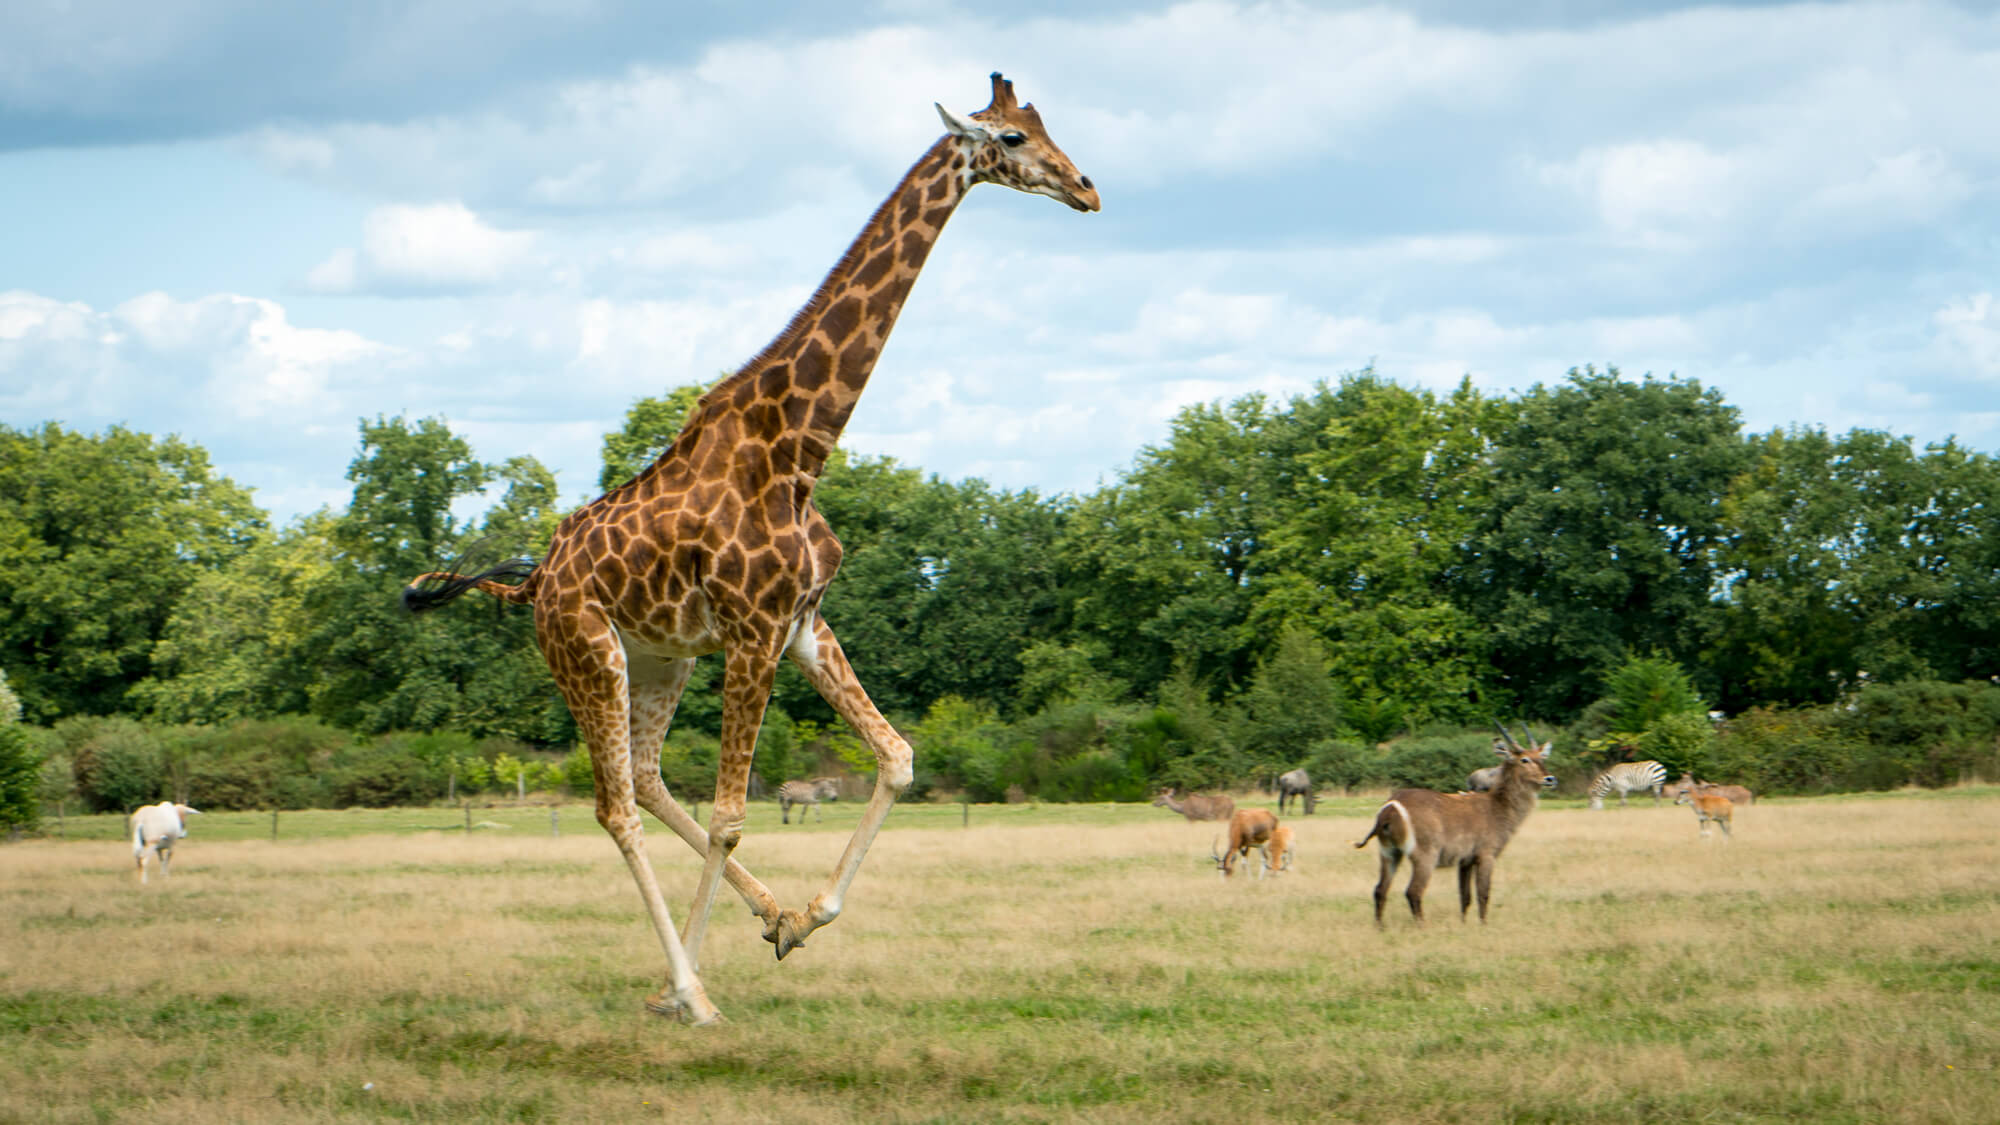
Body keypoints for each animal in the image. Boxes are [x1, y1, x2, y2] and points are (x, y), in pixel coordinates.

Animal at [400, 65, 1104, 1020]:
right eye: (1012, 139)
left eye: (1042, 125)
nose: (1087, 188)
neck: (800, 447)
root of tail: (536, 581)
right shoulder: (753, 631)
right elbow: (734, 812)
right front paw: (699, 985)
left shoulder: (801, 622)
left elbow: (897, 757)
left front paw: (804, 917)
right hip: (588, 652)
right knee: (617, 806)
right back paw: (688, 988)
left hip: (659, 656)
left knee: (647, 776)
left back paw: (760, 921)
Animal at [1352, 728, 1552, 920]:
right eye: (1524, 759)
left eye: (1542, 757)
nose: (1550, 779)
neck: (1497, 806)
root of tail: (1391, 806)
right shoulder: (1486, 855)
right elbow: (1483, 894)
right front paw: (1483, 925)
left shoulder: (1465, 861)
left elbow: (1465, 897)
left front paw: (1464, 924)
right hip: (1425, 855)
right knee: (1413, 892)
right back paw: (1422, 927)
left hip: (1389, 853)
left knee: (1380, 890)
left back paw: (1381, 927)